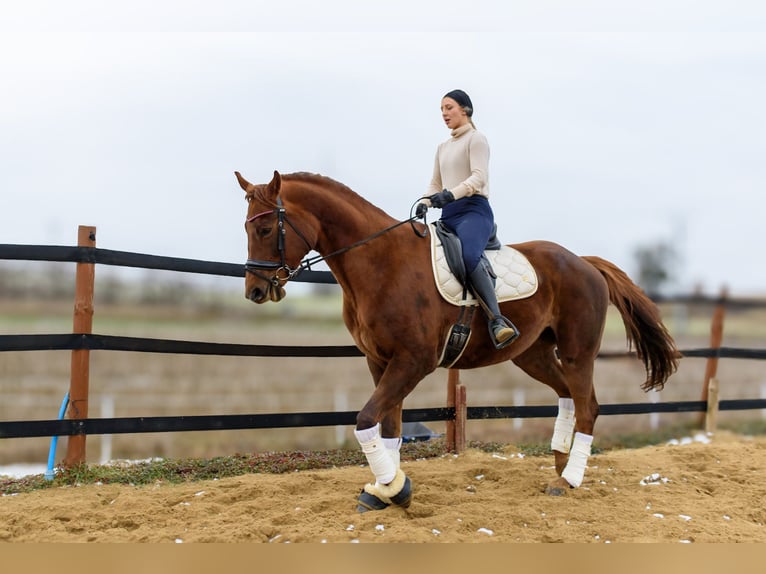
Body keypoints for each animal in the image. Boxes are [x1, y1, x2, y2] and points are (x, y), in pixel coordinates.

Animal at [235, 170, 679, 511]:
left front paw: (396, 489)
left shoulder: (413, 361)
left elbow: (365, 420)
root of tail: (584, 262)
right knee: (568, 396)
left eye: (265, 228)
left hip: (577, 353)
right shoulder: (380, 361)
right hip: (532, 355)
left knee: (589, 407)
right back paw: (559, 465)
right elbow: (389, 427)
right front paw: (384, 489)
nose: (255, 291)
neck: (380, 262)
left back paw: (569, 477)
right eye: (247, 228)